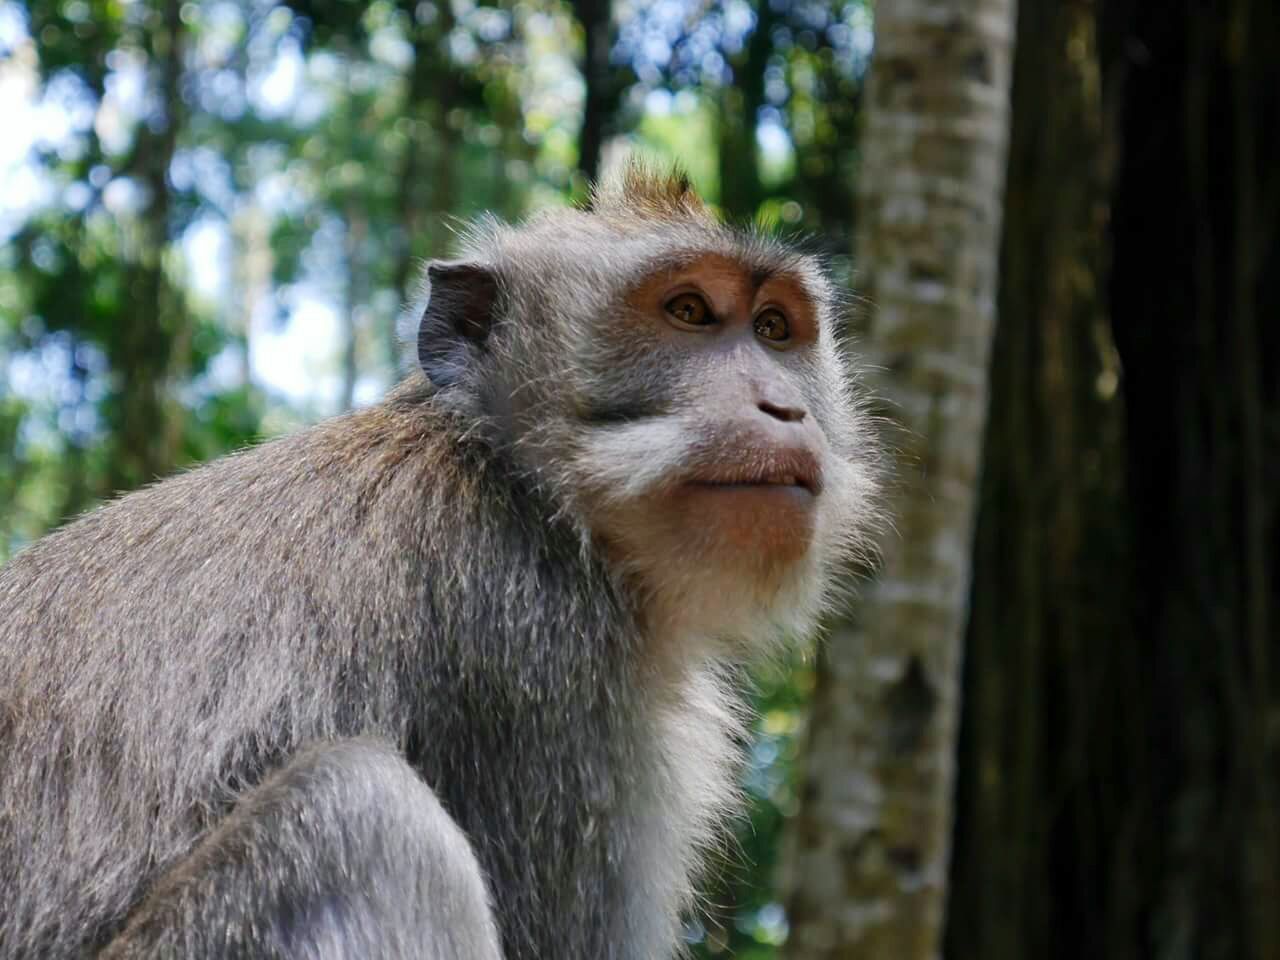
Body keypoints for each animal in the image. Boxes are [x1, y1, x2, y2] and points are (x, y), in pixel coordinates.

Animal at [0, 165, 880, 960]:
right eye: (689, 311)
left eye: (774, 329)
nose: (783, 407)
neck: (518, 480)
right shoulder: (535, 658)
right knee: (365, 813)